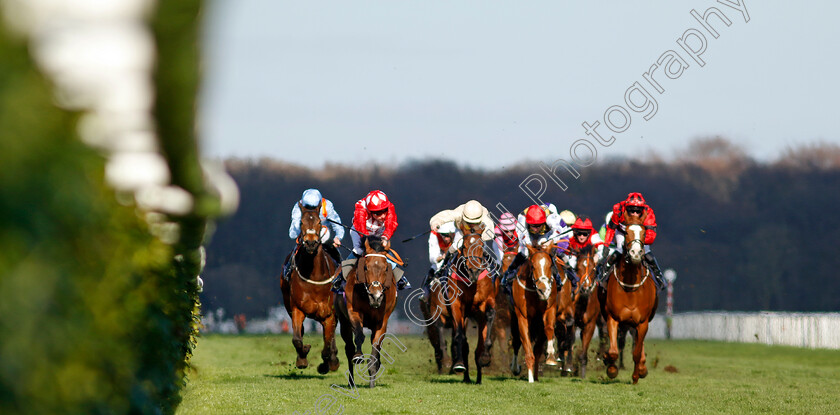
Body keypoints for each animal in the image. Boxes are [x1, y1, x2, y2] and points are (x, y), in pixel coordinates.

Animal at [278, 204, 338, 374]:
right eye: (301, 222)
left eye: (319, 222)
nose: (310, 243)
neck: (315, 277)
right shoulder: (297, 309)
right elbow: (297, 339)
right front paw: (303, 357)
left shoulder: (328, 314)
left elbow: (327, 346)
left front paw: (327, 364)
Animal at [334, 237, 398, 390]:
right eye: (365, 267)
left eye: (386, 268)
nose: (376, 296)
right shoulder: (353, 312)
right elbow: (359, 334)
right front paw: (358, 356)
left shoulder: (382, 321)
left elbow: (376, 346)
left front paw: (372, 378)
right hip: (344, 323)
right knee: (349, 349)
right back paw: (351, 382)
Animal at [446, 226, 498, 386]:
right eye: (464, 246)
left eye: (481, 246)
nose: (474, 271)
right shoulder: (456, 304)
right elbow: (460, 336)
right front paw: (459, 364)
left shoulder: (487, 302)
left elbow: (489, 316)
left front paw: (485, 358)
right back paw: (467, 377)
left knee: (478, 345)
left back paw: (479, 376)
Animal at [508, 244, 560, 384]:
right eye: (532, 266)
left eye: (550, 265)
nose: (543, 290)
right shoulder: (522, 317)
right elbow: (525, 343)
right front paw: (530, 378)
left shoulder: (550, 308)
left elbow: (549, 328)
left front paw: (551, 356)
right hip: (514, 321)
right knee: (516, 341)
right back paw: (517, 369)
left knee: (537, 349)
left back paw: (536, 375)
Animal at [600, 216, 660, 386]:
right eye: (626, 232)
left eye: (644, 232)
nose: (636, 253)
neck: (630, 288)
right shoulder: (613, 318)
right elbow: (613, 351)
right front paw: (611, 368)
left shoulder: (642, 322)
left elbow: (636, 352)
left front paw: (636, 376)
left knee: (639, 343)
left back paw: (642, 368)